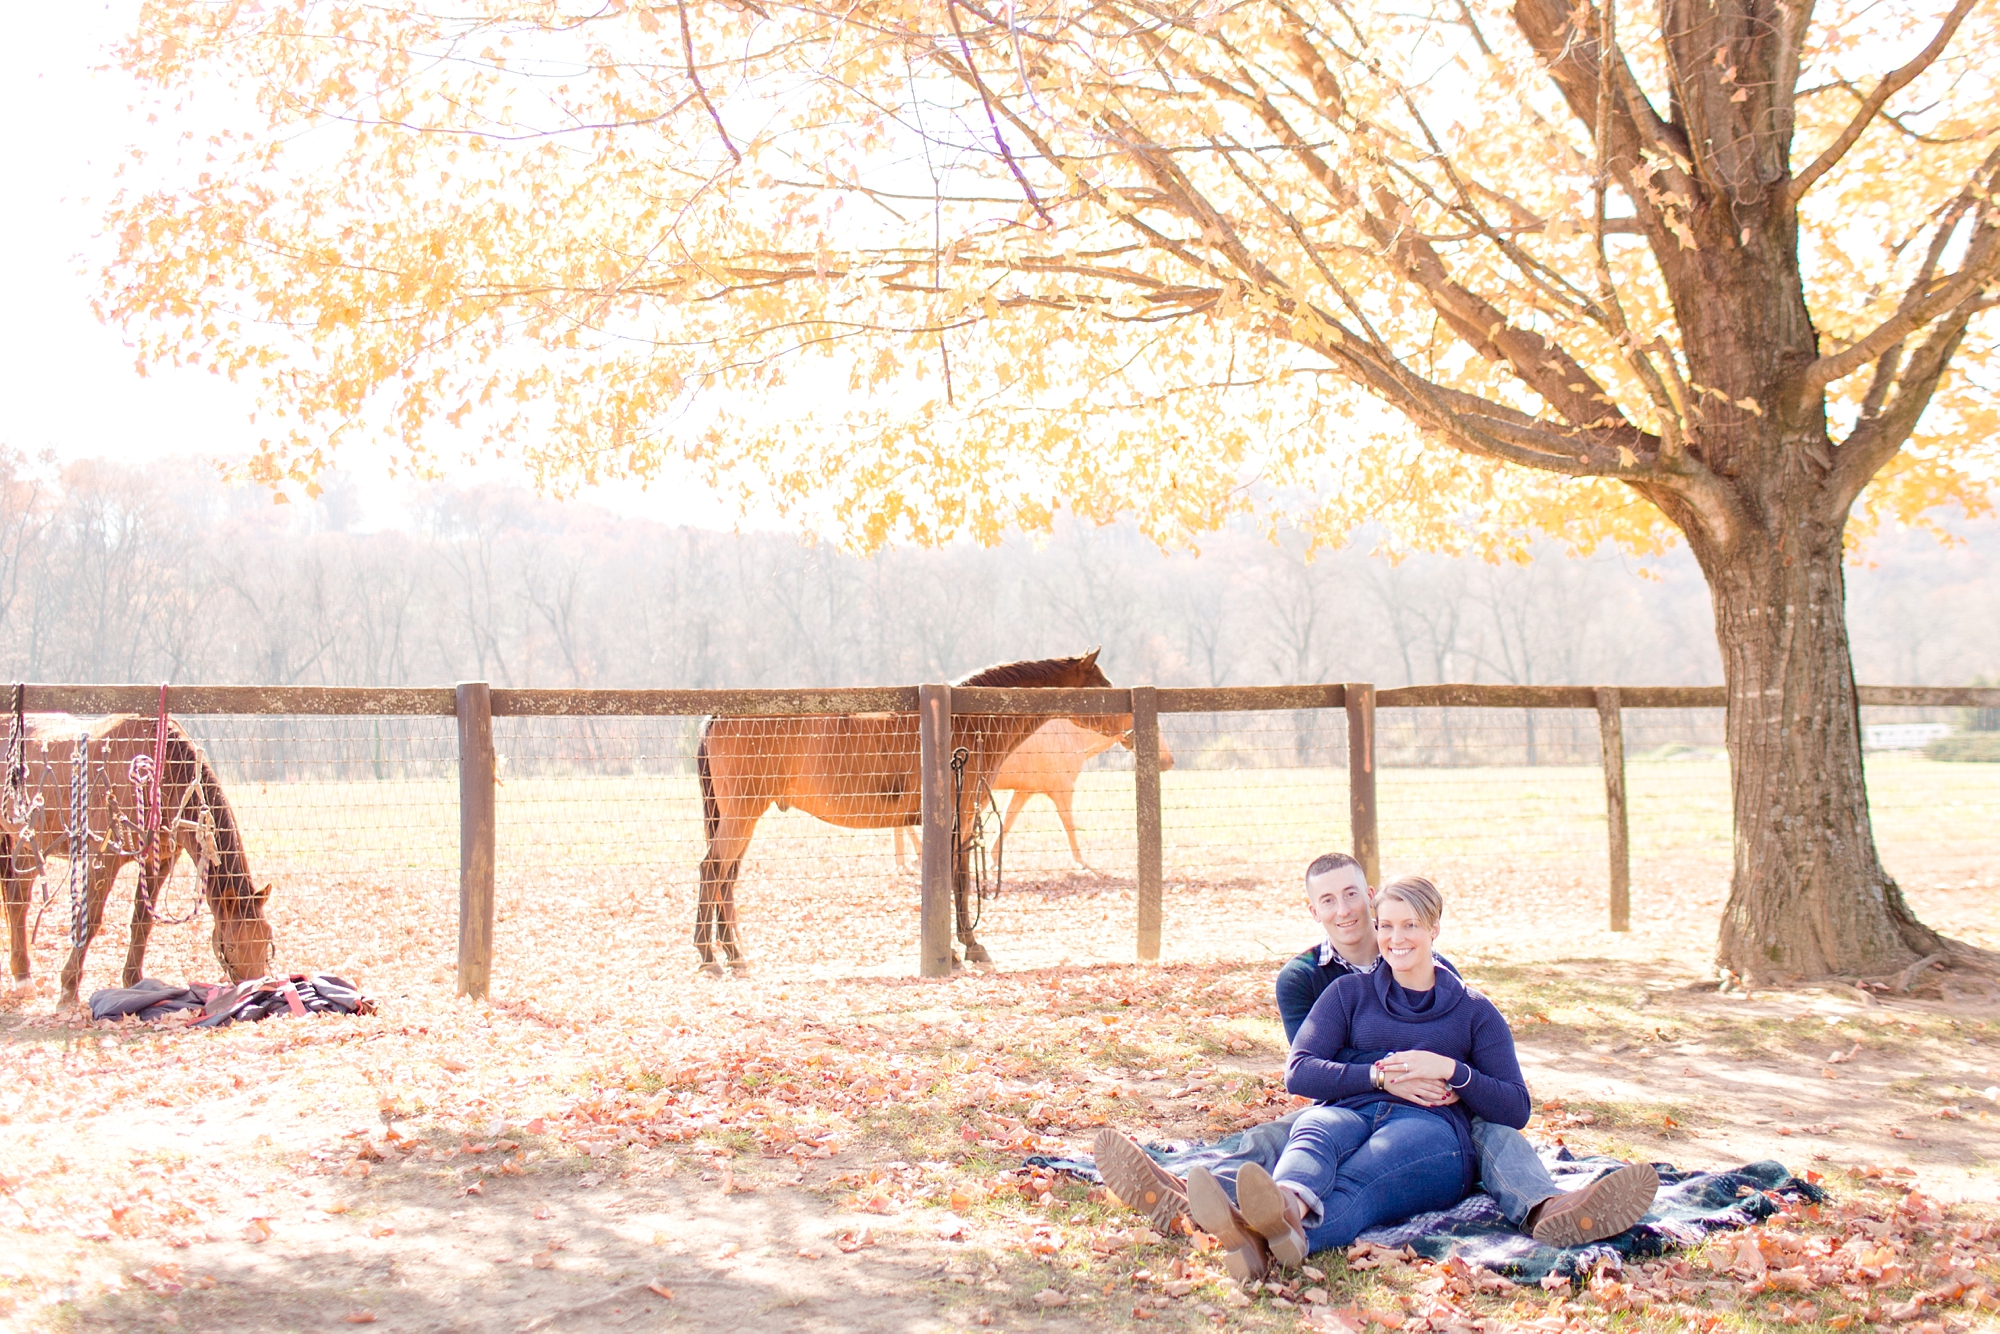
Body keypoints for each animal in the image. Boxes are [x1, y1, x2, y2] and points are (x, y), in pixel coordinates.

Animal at [0, 716, 274, 1008]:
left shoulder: (160, 861)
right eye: (231, 945)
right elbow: (91, 919)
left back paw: (22, 977)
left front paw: (134, 982)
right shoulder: (104, 859)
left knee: (18, 902)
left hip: (28, 845)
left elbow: (142, 920)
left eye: (267, 939)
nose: (258, 990)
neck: (158, 780)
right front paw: (68, 989)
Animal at [692, 652, 1136, 976]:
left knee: (726, 878)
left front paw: (963, 948)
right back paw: (709, 956)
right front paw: (966, 949)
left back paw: (734, 954)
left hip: (740, 819)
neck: (966, 721)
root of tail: (718, 717)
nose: (1132, 729)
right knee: (712, 870)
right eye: (1103, 686)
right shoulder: (960, 818)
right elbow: (958, 881)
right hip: (741, 816)